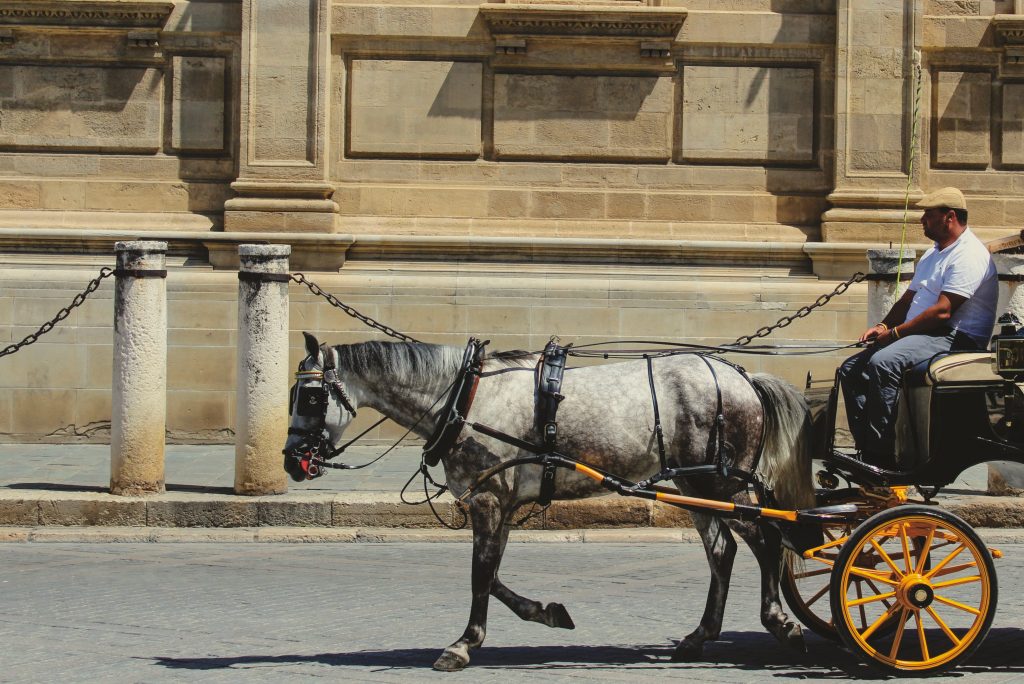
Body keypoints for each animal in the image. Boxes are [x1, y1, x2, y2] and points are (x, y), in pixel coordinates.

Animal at [282, 333, 815, 671]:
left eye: (310, 397)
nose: (291, 461)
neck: (466, 398)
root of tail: (742, 376)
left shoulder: (488, 500)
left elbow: (480, 575)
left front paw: (463, 644)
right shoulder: (500, 504)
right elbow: (493, 575)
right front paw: (546, 612)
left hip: (724, 487)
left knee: (767, 539)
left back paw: (780, 623)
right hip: (696, 488)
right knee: (722, 551)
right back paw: (700, 635)